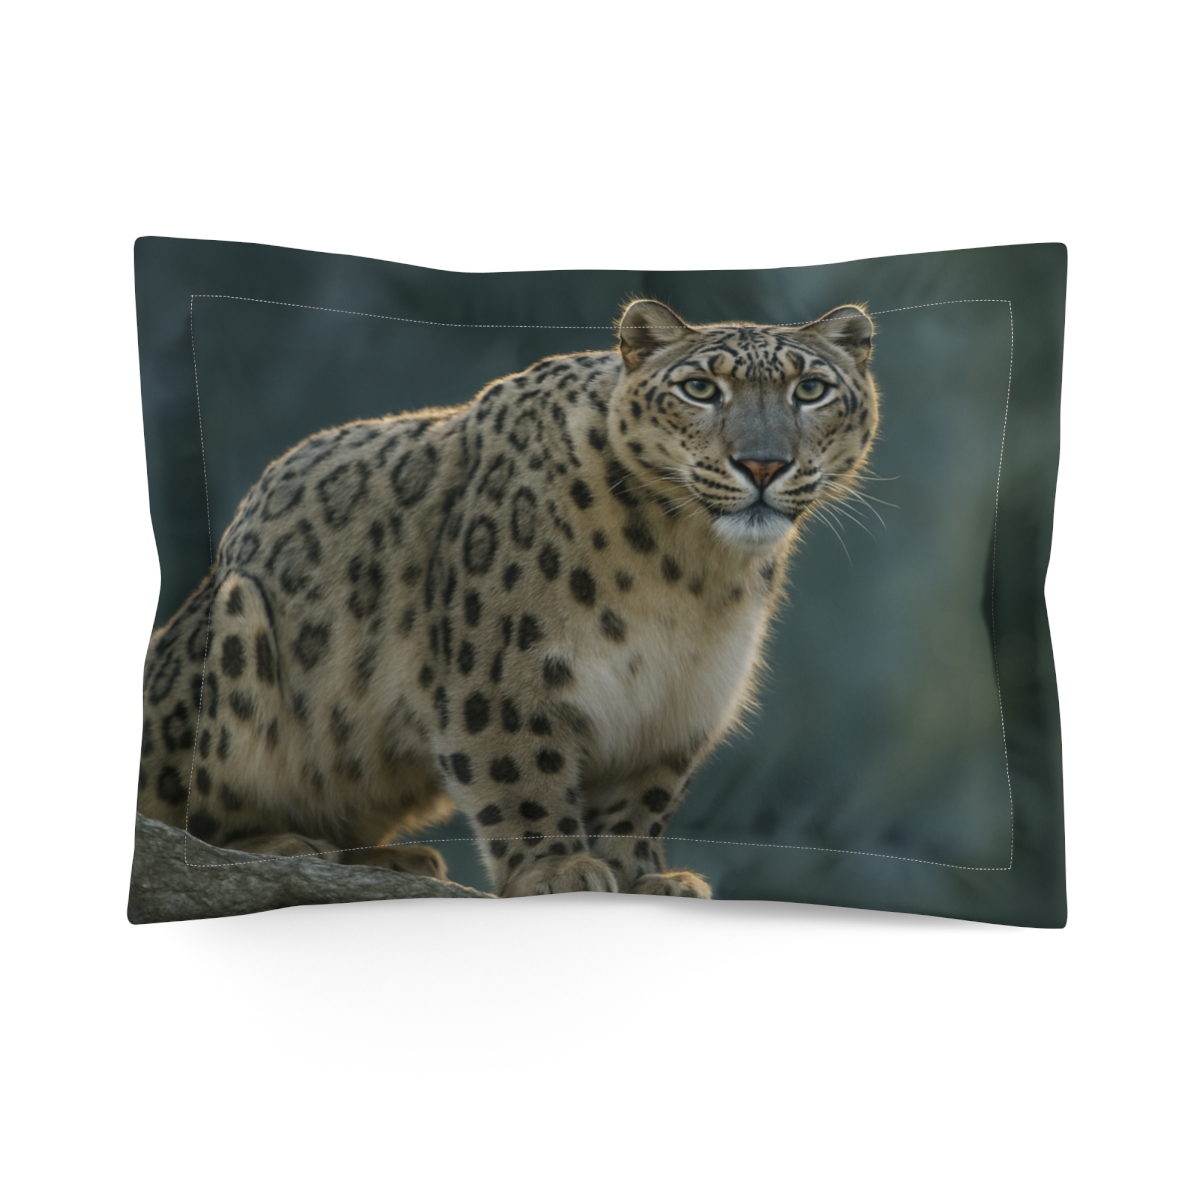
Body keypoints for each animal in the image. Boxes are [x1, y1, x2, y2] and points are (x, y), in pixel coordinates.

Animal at [138, 298, 879, 898]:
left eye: (811, 389)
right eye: (700, 387)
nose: (763, 463)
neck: (689, 575)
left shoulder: (681, 700)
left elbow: (642, 799)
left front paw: (647, 877)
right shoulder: (505, 668)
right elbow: (522, 768)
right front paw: (559, 869)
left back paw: (396, 859)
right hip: (233, 639)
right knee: (193, 811)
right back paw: (291, 845)